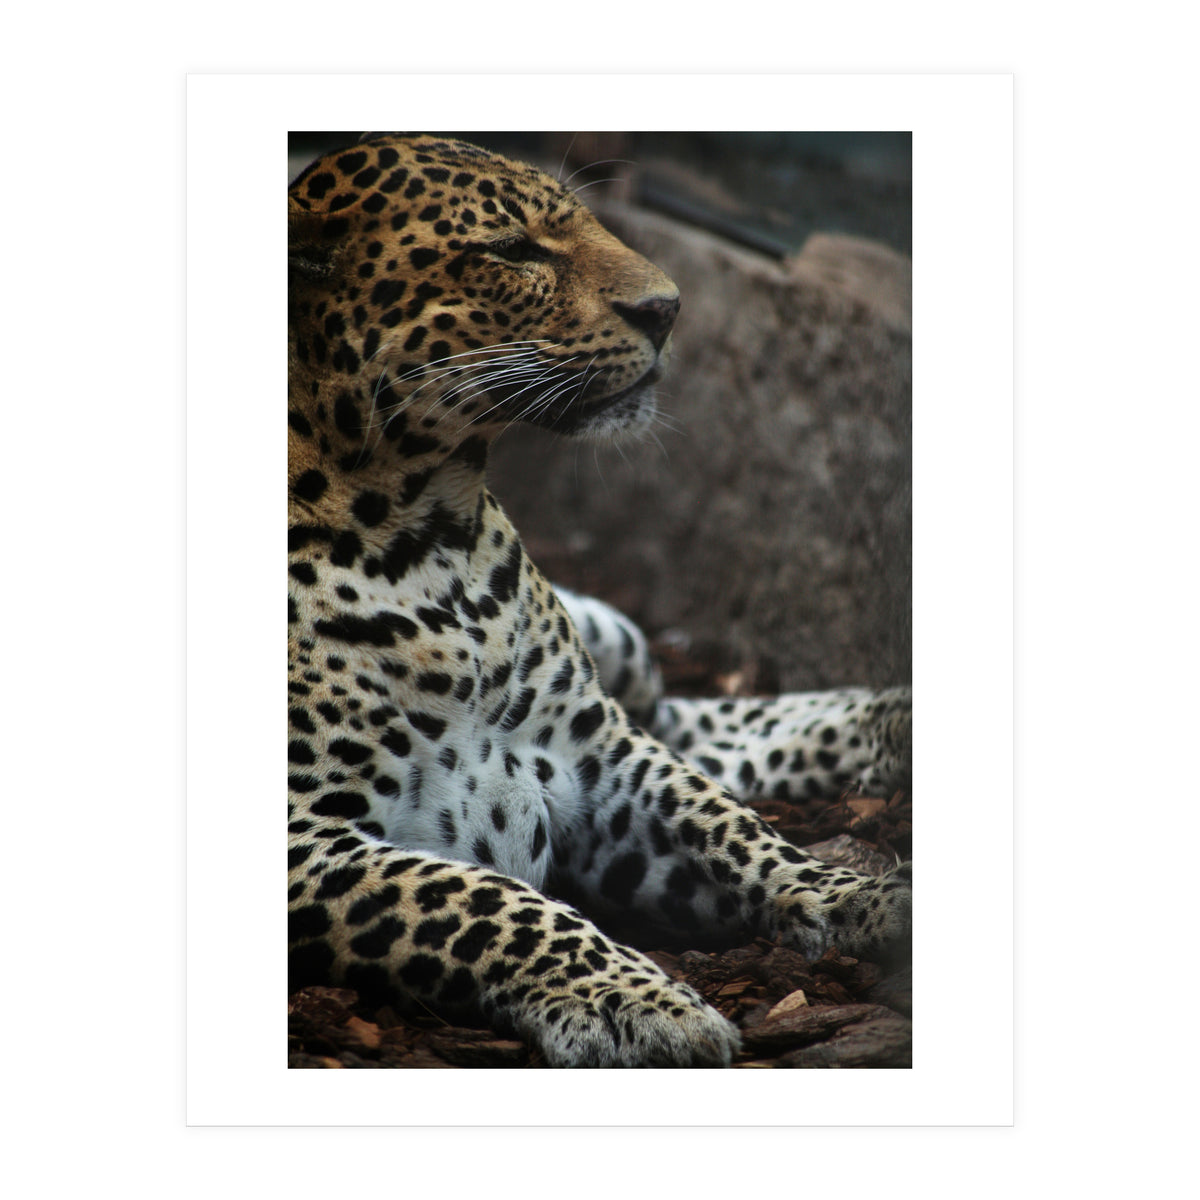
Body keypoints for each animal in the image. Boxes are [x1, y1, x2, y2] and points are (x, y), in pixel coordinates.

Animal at [287, 133, 912, 1068]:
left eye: (582, 221)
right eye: (511, 250)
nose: (669, 308)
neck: (430, 536)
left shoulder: (597, 754)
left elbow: (731, 826)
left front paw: (862, 897)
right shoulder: (304, 839)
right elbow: (483, 901)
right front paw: (637, 1002)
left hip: (620, 651)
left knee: (685, 721)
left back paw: (893, 720)